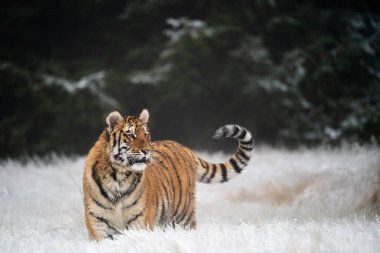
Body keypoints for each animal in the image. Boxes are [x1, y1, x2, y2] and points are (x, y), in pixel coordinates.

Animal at [82, 109, 254, 241]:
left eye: (146, 135)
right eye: (130, 135)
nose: (147, 151)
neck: (119, 176)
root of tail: (186, 149)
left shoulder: (140, 221)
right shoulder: (98, 223)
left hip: (183, 216)